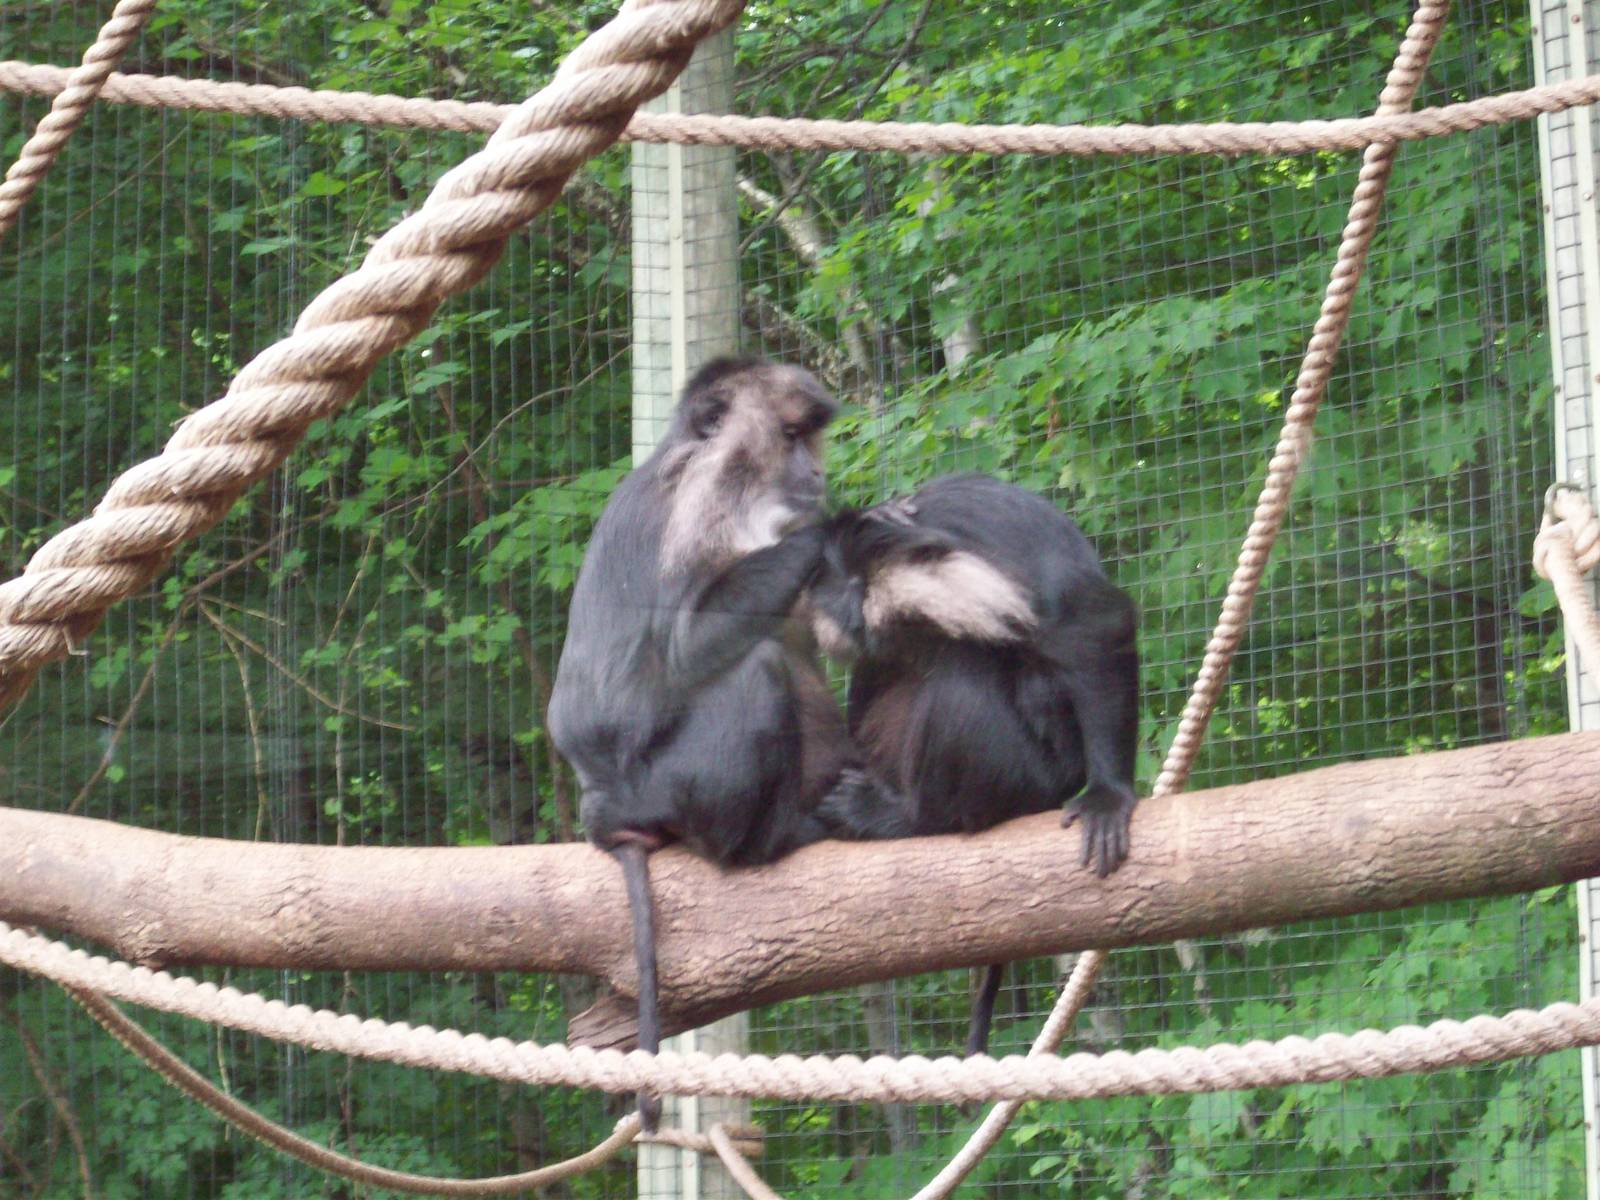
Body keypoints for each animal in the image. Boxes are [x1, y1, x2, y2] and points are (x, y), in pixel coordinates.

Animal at [546, 356, 901, 1129]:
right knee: (755, 668)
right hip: (671, 787)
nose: (816, 473)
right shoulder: (697, 499)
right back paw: (763, 843)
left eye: (811, 438)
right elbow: (686, 646)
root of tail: (604, 808)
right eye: (789, 436)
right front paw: (835, 527)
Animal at [807, 472, 1140, 1055]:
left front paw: (1110, 795)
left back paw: (909, 818)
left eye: (854, 592)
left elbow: (1094, 622)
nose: (847, 618)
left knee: (962, 677)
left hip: (1027, 774)